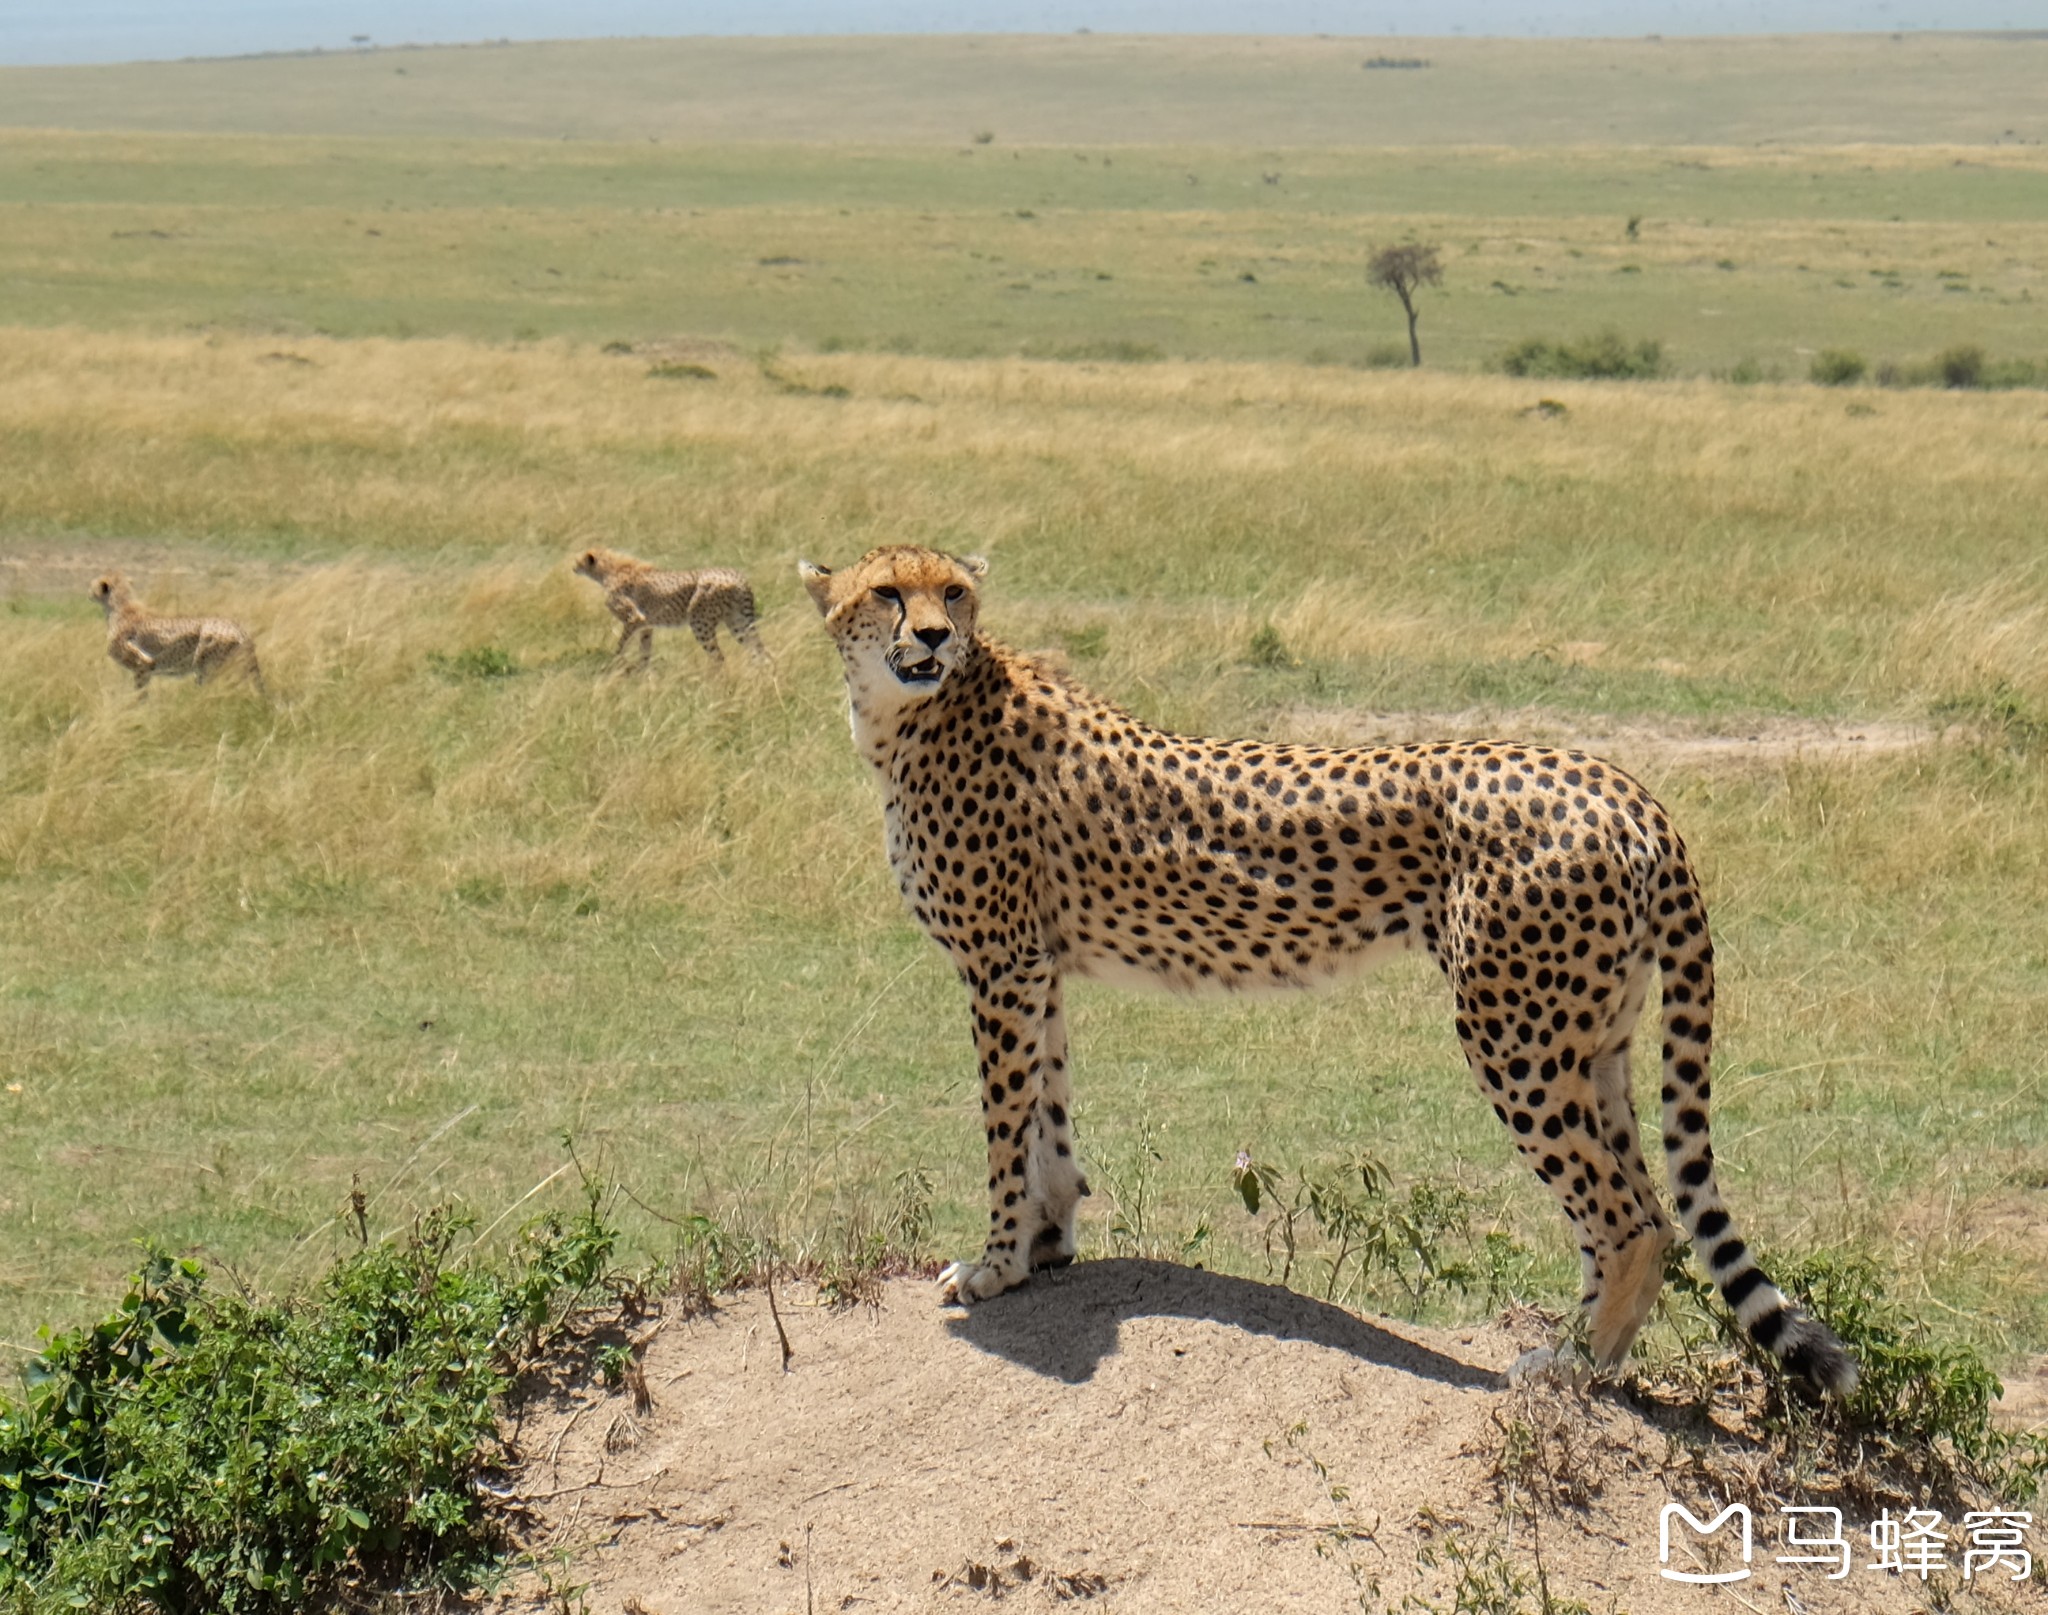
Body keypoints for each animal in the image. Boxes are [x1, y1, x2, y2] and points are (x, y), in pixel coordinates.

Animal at [92, 573, 266, 700]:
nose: (89, 591)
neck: (119, 606)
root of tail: (238, 627)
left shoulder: (143, 664)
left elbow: (140, 694)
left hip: (205, 666)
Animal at [573, 544, 765, 663]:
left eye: (578, 561)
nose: (573, 567)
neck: (610, 570)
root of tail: (737, 576)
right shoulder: (646, 625)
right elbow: (645, 654)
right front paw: (643, 679)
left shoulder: (634, 619)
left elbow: (621, 646)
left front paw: (614, 666)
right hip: (738, 622)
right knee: (760, 652)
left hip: (700, 623)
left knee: (719, 657)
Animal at [798, 548, 1859, 1391]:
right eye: (888, 590)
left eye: (954, 592)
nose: (933, 635)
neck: (917, 711)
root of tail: (1620, 784)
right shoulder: (1036, 966)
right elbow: (1047, 1116)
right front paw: (1050, 1246)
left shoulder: (1000, 966)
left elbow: (1004, 1128)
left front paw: (994, 1266)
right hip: (1594, 1037)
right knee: (1636, 1201)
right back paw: (1590, 1349)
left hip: (1512, 1034)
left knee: (1632, 1215)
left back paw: (1573, 1365)